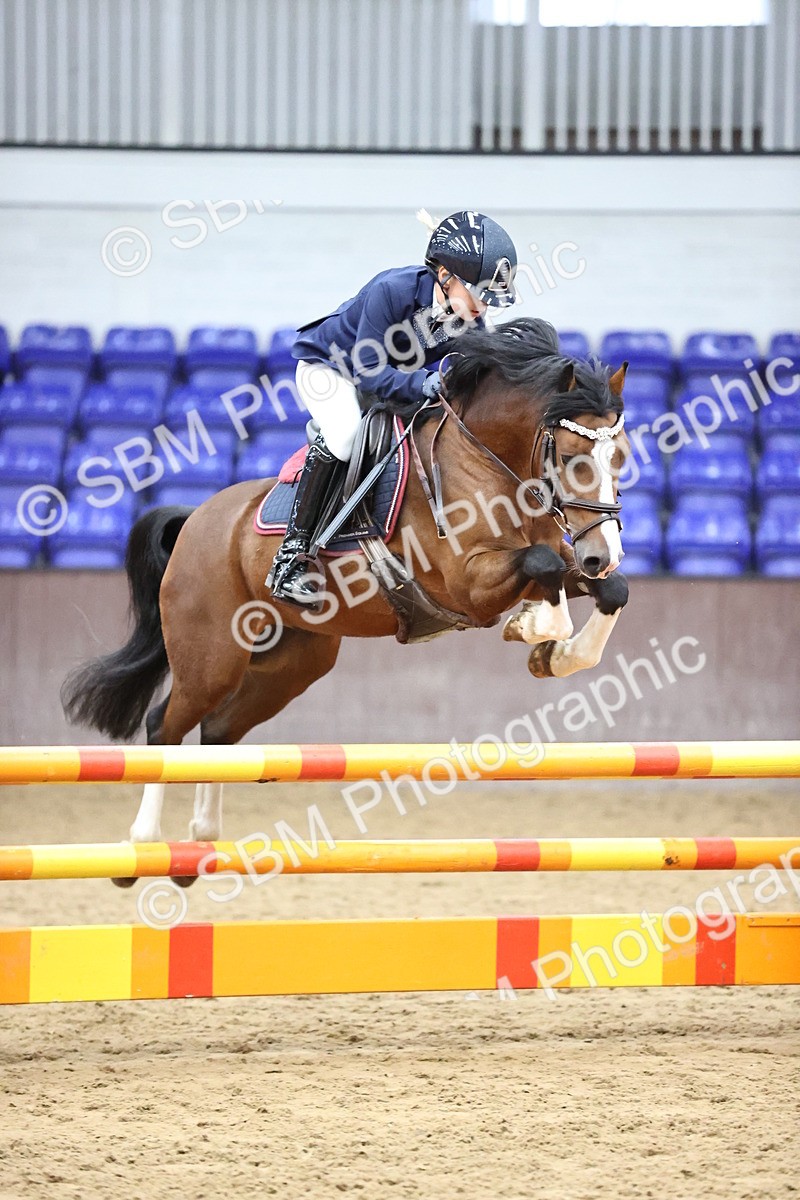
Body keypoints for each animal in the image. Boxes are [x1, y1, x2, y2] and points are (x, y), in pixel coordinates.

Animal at [62, 318, 631, 875]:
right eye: (574, 457)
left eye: (620, 457)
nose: (604, 552)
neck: (488, 458)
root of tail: (197, 519)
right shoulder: (469, 584)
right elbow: (544, 568)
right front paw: (534, 629)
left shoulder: (556, 561)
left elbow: (606, 588)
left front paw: (556, 654)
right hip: (211, 658)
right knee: (165, 727)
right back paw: (141, 846)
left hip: (291, 664)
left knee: (219, 732)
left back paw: (199, 842)